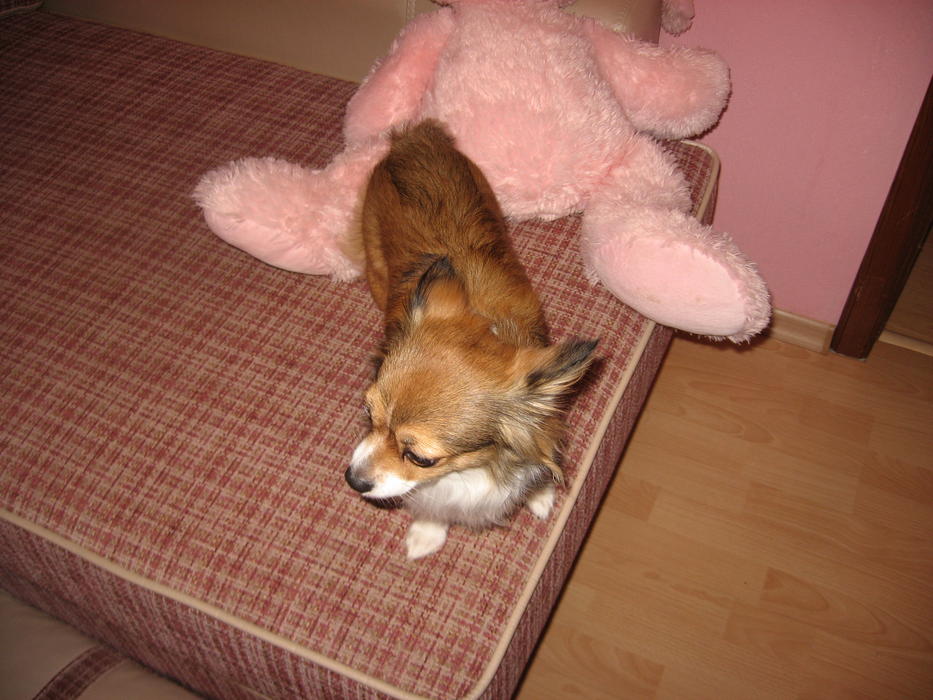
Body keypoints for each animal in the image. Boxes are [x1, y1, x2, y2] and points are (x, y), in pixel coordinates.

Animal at [344, 120, 596, 559]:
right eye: (367, 415)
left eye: (420, 458)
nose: (353, 480)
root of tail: (415, 138)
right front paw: (427, 534)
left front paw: (539, 496)